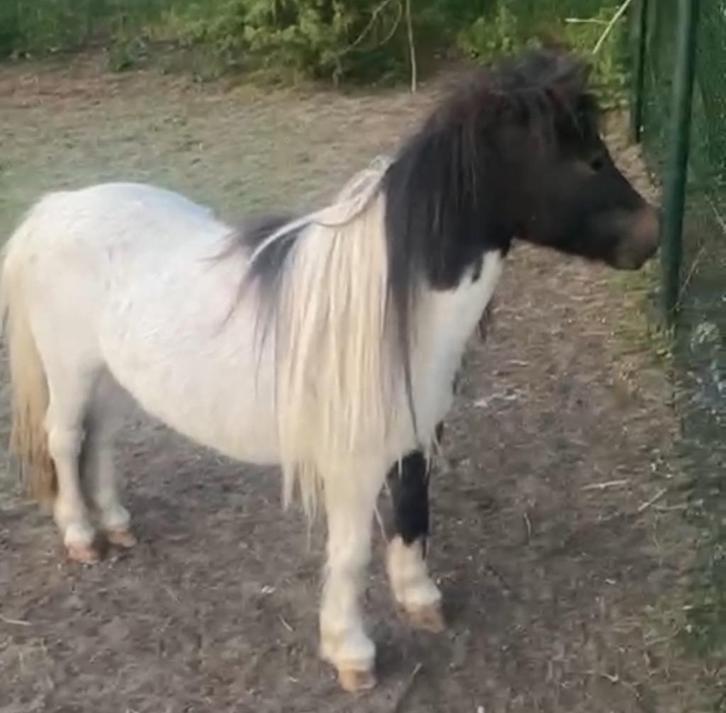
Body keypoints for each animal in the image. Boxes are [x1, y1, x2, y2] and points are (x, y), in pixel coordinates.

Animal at [1, 49, 659, 692]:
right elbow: (350, 555)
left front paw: (419, 598)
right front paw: (351, 652)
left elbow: (414, 514)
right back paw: (82, 536)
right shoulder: (353, 466)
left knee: (102, 440)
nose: (651, 236)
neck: (392, 310)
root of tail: (55, 208)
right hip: (71, 370)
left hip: (112, 377)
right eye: (582, 159)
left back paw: (116, 524)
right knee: (66, 440)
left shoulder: (415, 438)